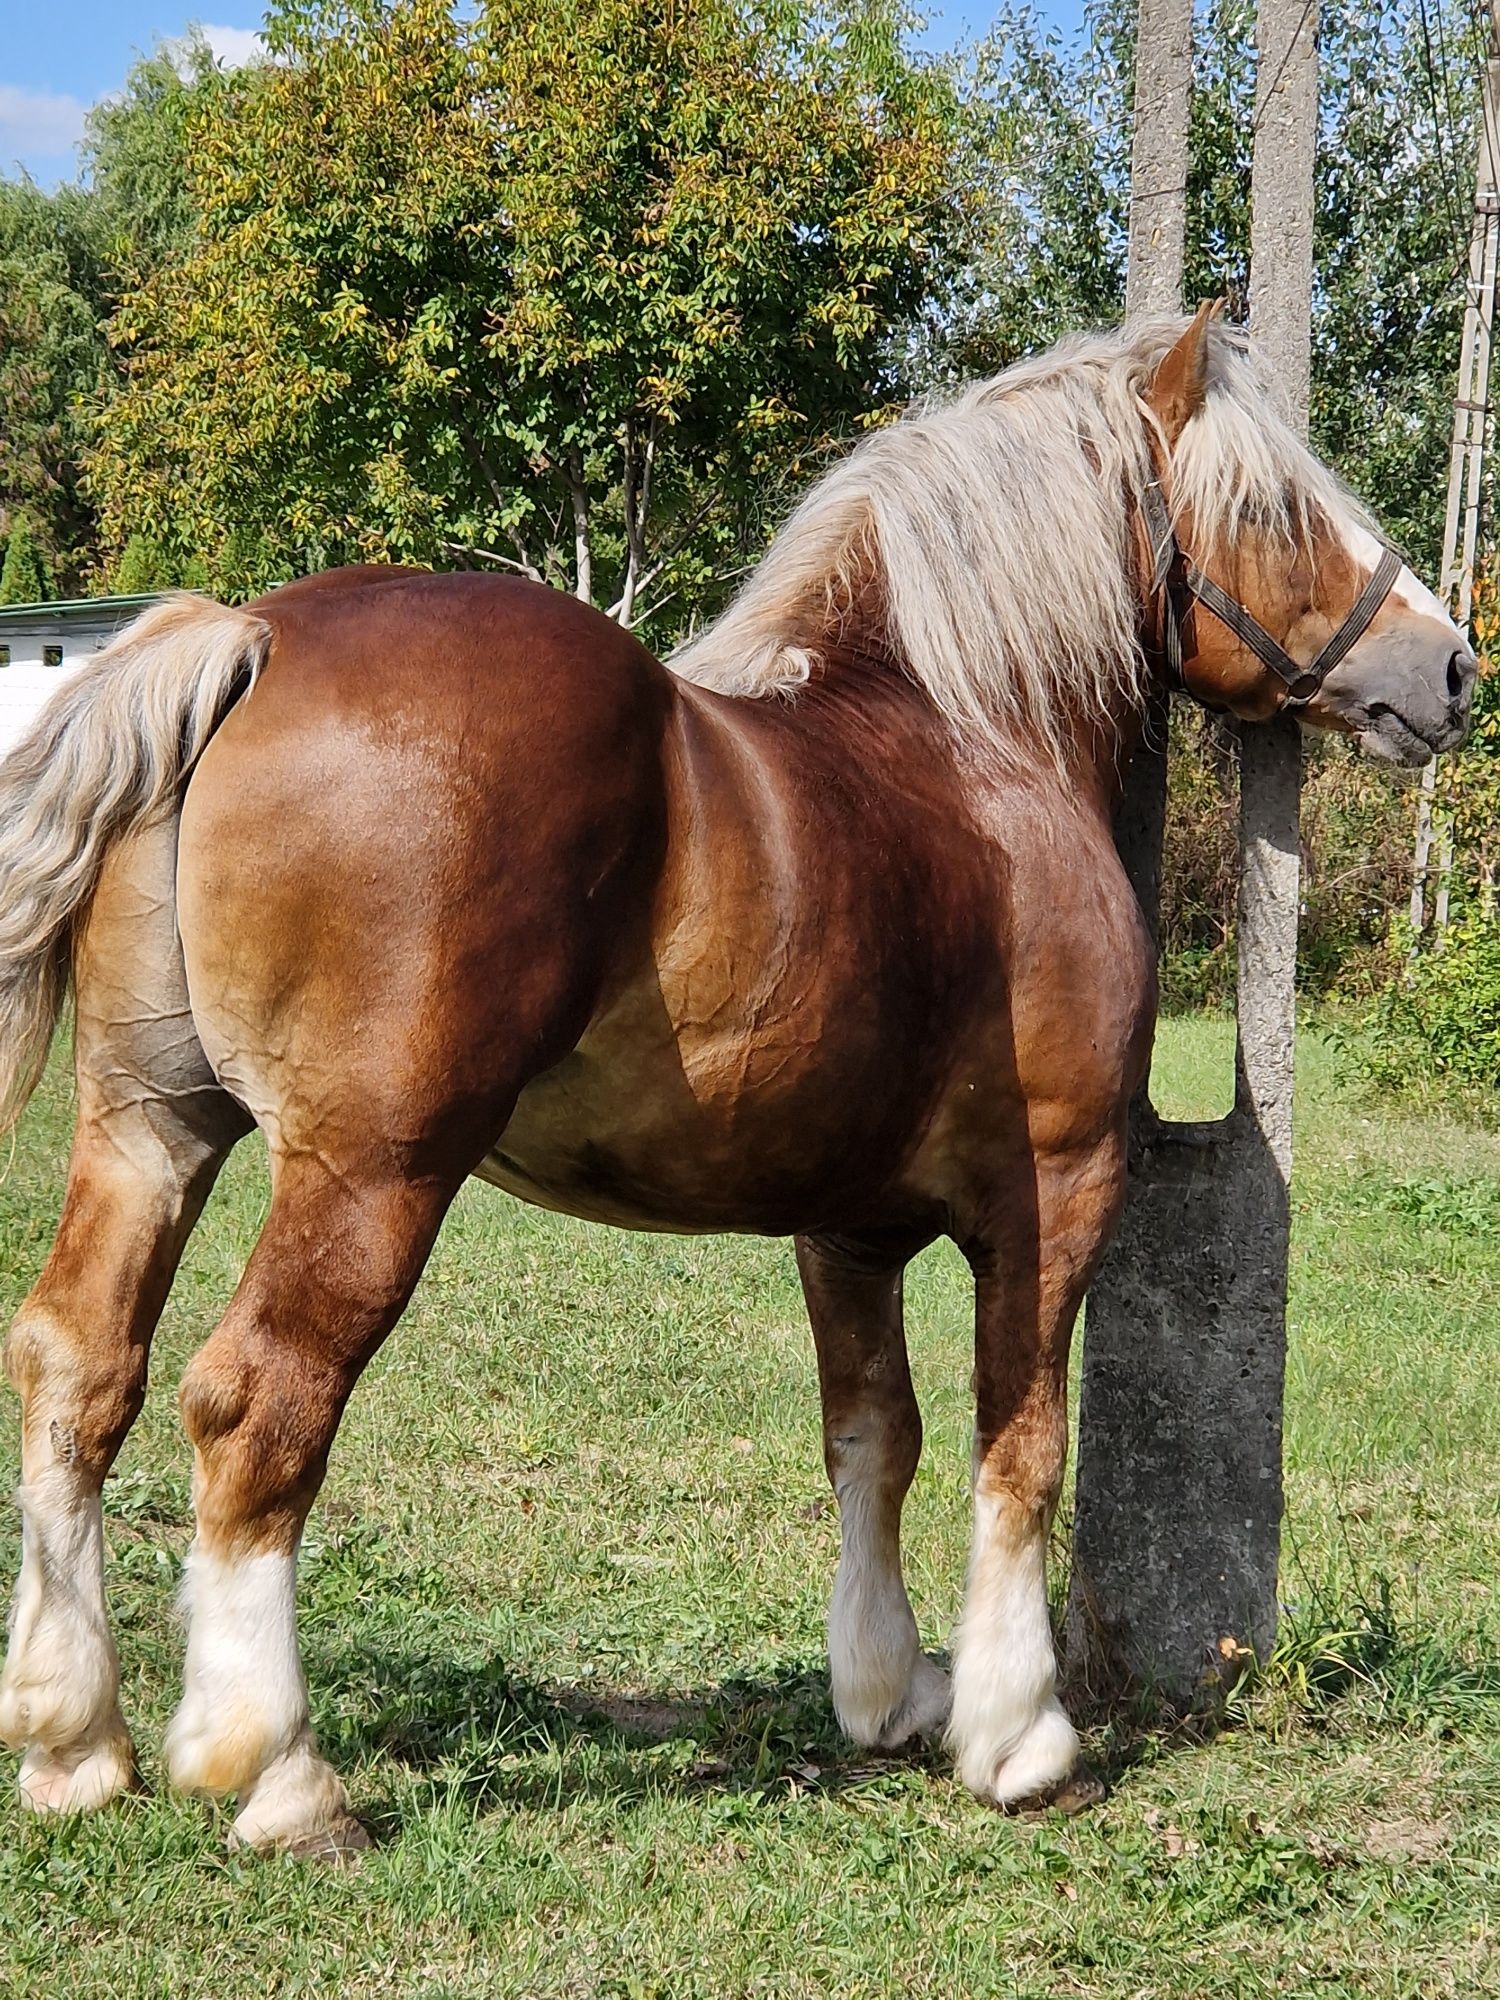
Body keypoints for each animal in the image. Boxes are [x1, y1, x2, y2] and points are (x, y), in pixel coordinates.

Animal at [0, 304, 1472, 1848]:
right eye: (1279, 506)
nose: (1450, 667)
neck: (977, 739)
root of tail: (257, 635)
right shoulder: (1059, 1196)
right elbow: (1021, 1445)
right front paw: (1016, 1731)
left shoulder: (848, 1229)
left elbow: (874, 1437)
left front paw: (887, 1690)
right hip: (370, 1172)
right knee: (257, 1401)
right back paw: (273, 1766)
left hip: (151, 1130)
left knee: (76, 1366)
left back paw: (72, 1735)